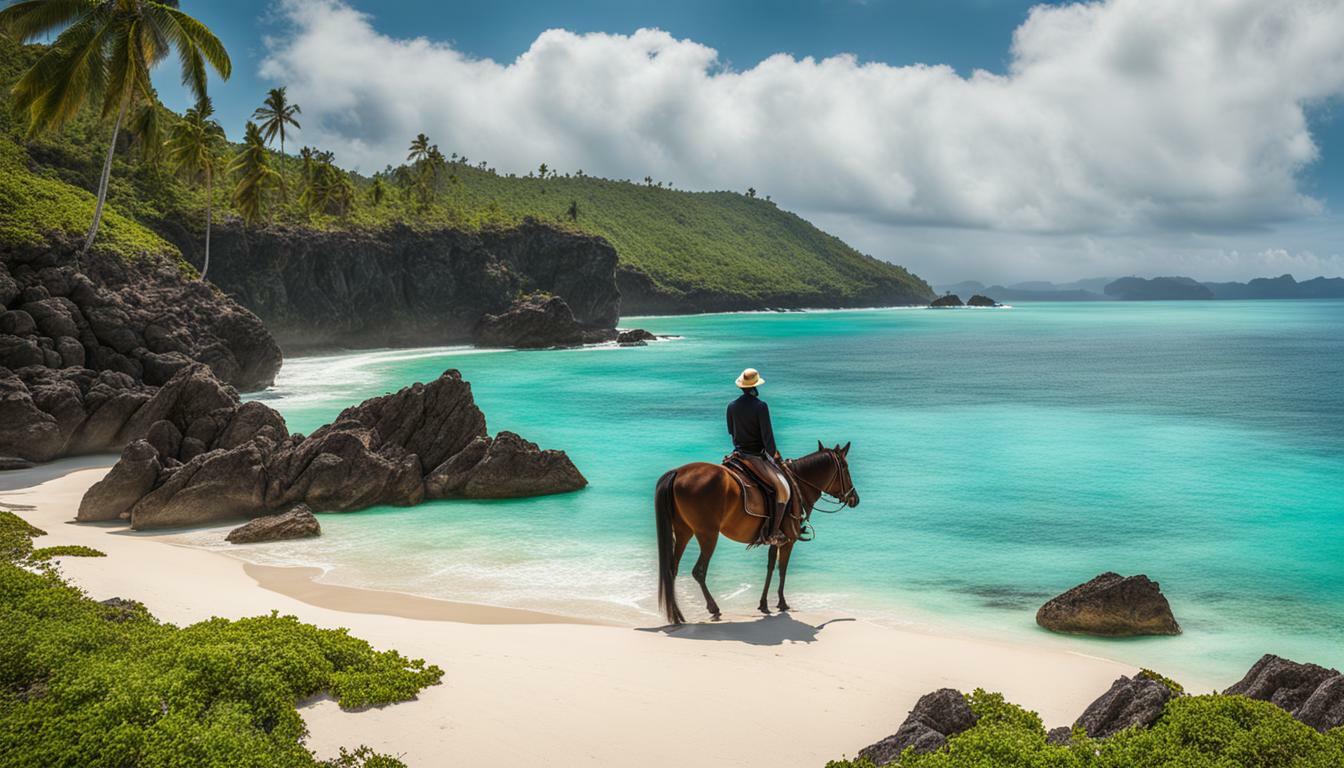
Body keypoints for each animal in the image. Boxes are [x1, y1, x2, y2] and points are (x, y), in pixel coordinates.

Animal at [653, 443, 860, 624]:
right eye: (846, 468)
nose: (855, 498)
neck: (797, 485)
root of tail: (678, 472)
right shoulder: (789, 541)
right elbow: (782, 569)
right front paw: (782, 602)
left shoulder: (775, 540)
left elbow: (770, 567)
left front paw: (764, 604)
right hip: (708, 535)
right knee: (699, 571)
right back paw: (713, 609)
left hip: (683, 532)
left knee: (672, 570)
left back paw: (677, 615)